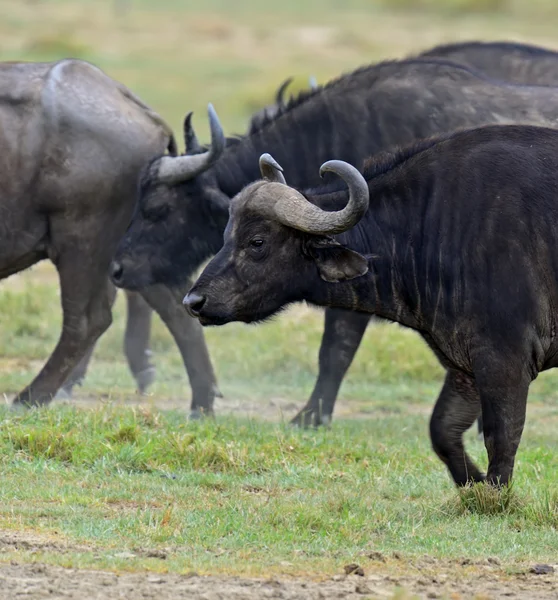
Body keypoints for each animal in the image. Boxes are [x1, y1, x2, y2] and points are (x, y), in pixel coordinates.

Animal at [0, 58, 219, 412]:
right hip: (136, 251)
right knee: (175, 306)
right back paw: (201, 402)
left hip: (82, 241)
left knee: (87, 321)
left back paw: (31, 397)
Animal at [188, 124, 558, 490]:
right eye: (227, 236)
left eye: (257, 242)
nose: (193, 301)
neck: (432, 226)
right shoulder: (462, 365)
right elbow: (442, 430)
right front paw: (472, 482)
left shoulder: (504, 363)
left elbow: (501, 439)